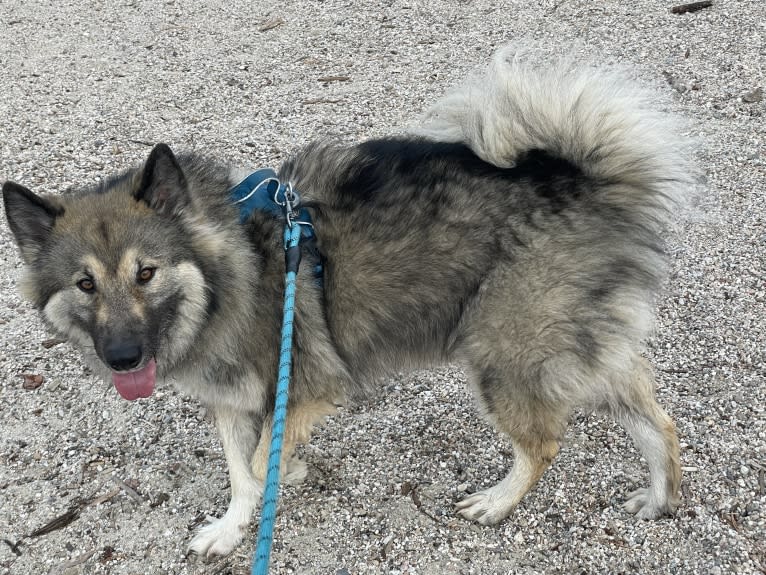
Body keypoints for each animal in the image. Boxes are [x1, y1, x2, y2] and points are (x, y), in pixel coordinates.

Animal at [1, 50, 696, 560]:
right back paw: (661, 496)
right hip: (581, 349)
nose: (122, 358)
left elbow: (258, 460)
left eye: (145, 273)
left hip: (505, 357)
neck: (233, 273)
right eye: (85, 285)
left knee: (544, 444)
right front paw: (240, 517)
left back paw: (498, 502)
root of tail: (582, 180)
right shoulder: (231, 398)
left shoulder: (303, 384)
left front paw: (267, 490)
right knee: (656, 419)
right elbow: (240, 468)